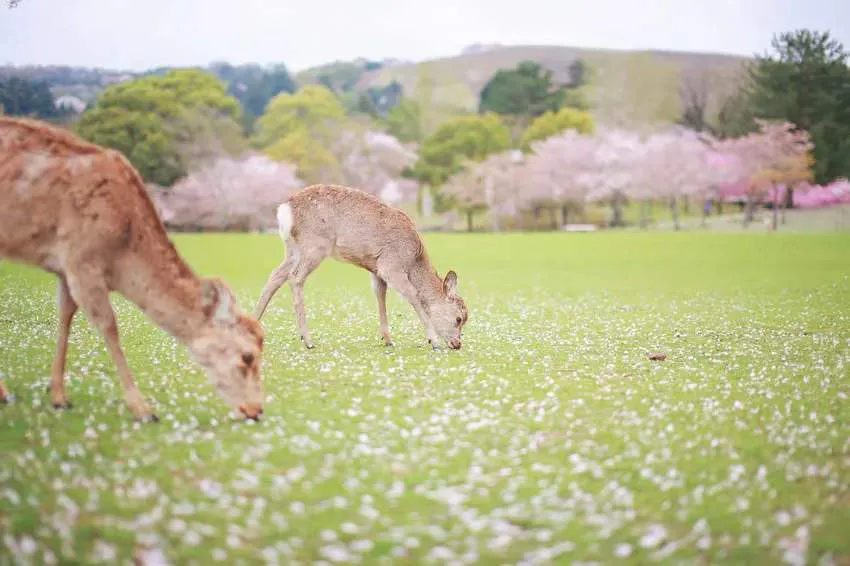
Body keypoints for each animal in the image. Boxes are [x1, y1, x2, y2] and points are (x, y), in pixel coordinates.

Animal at [0, 117, 264, 424]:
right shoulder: (81, 258)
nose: (256, 410)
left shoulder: (66, 268)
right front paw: (143, 409)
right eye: (247, 356)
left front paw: (58, 397)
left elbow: (65, 316)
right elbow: (108, 325)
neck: (121, 260)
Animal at [255, 184, 468, 350]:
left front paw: (388, 340)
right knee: (295, 277)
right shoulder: (391, 266)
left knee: (276, 275)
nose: (457, 344)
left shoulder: (377, 270)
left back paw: (254, 322)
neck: (413, 261)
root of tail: (284, 209)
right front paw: (434, 341)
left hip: (292, 248)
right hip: (315, 245)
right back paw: (308, 340)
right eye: (459, 318)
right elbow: (414, 295)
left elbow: (380, 296)